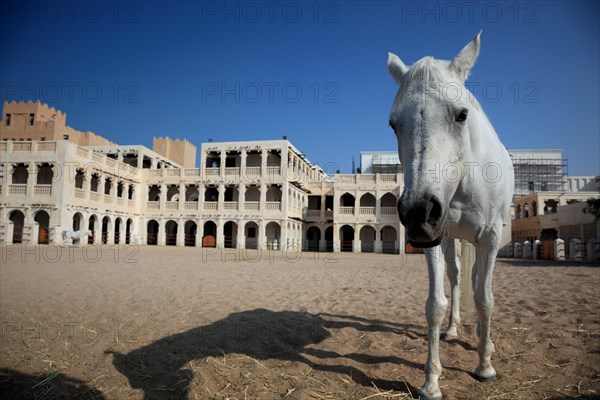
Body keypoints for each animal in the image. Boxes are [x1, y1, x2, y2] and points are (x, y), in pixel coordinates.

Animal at [386, 32, 512, 400]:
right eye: (394, 123)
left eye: (461, 115)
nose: (417, 212)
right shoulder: (433, 239)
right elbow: (435, 304)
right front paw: (431, 382)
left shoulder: (491, 237)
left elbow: (485, 299)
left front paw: (485, 366)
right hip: (449, 239)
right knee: (457, 279)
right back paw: (455, 329)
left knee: (476, 283)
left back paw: (486, 341)